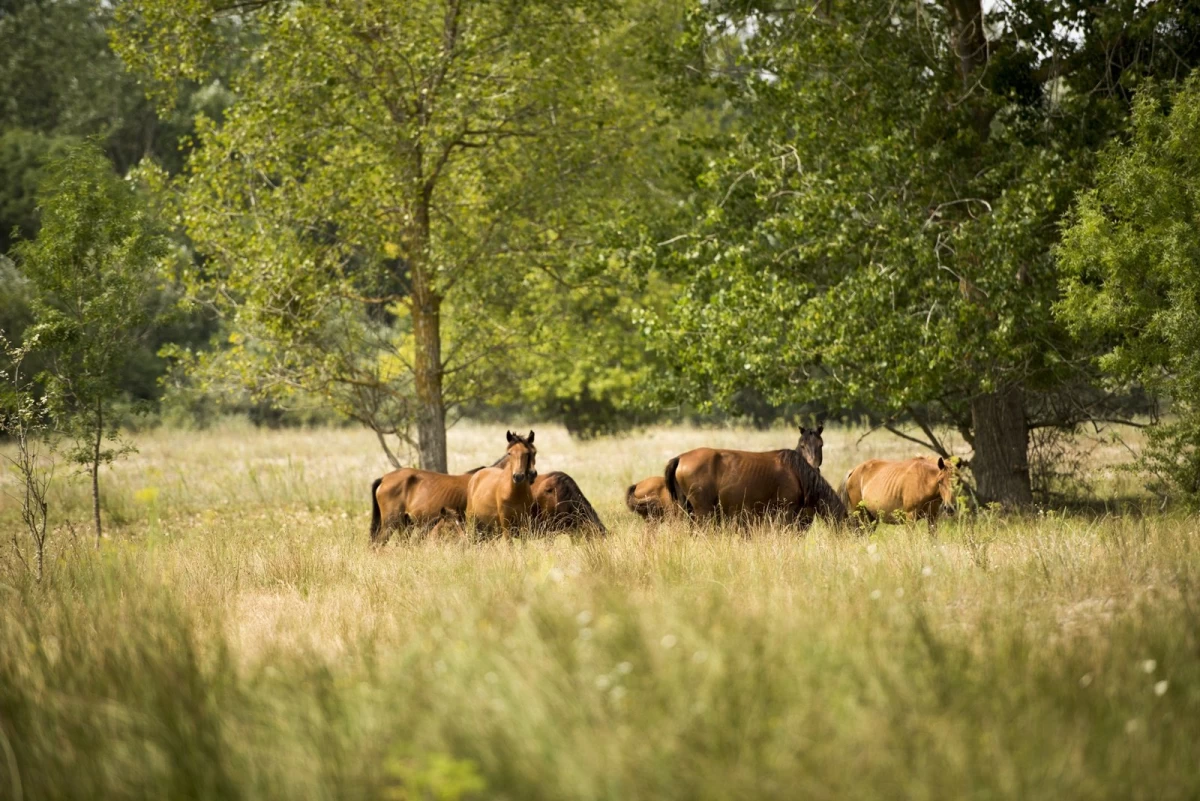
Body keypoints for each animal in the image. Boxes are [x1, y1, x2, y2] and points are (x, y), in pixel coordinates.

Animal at [662, 424, 849, 525]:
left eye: (821, 444)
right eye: (802, 445)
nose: (815, 466)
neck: (796, 472)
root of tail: (680, 458)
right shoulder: (786, 512)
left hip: (686, 509)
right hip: (702, 511)